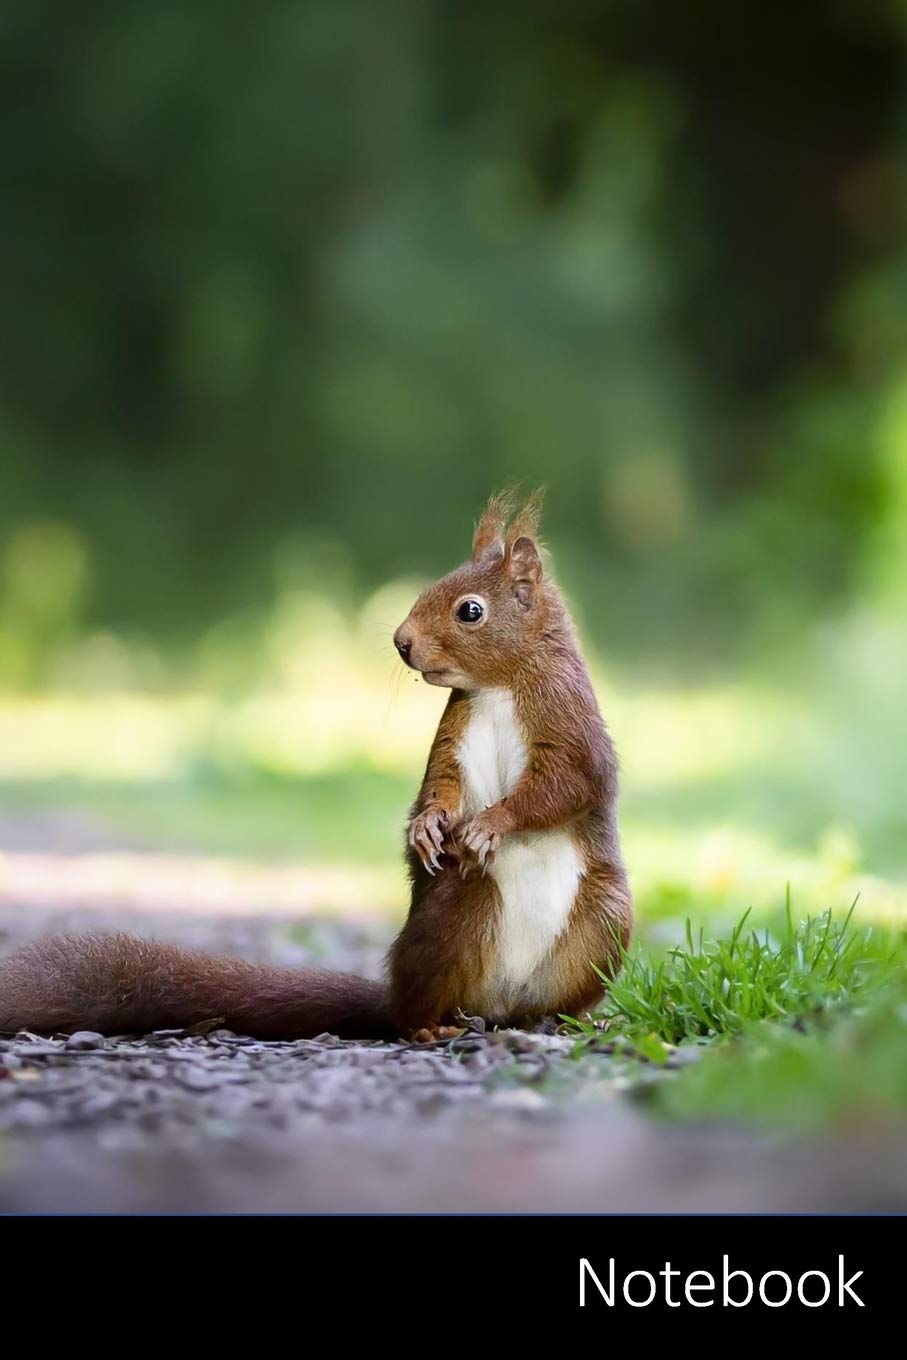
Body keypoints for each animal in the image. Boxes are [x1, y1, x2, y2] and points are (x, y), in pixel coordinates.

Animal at [0, 491, 631, 1043]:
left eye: (470, 611)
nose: (401, 642)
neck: (498, 686)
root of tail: (497, 1005)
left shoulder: (569, 724)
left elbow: (567, 785)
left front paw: (489, 824)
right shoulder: (454, 734)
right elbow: (442, 785)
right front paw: (428, 827)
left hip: (605, 923)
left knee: (550, 998)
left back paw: (567, 1020)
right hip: (456, 911)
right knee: (417, 1004)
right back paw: (428, 1026)